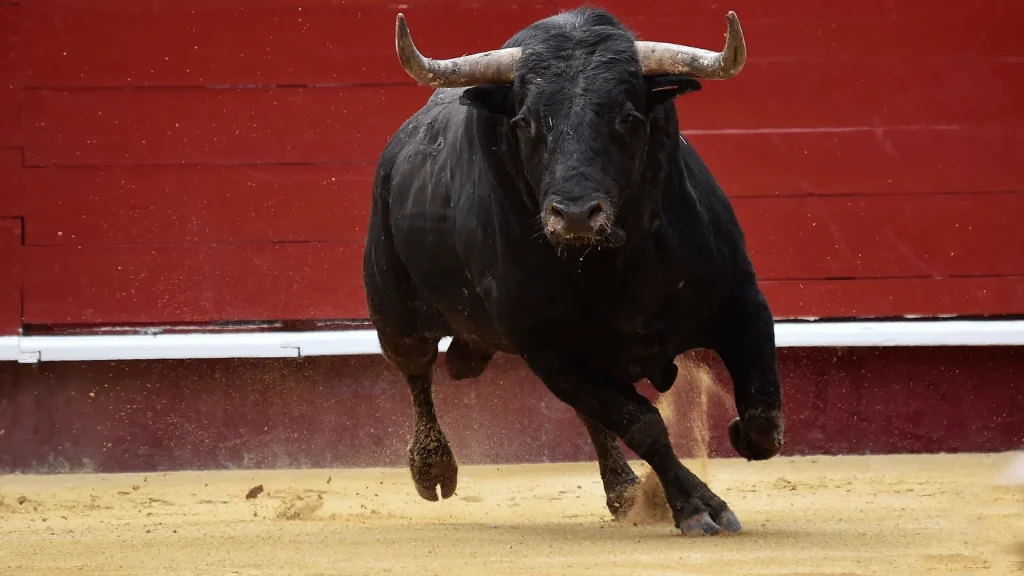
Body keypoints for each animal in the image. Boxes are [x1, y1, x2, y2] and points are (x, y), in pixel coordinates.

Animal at [362, 6, 784, 536]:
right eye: (524, 121)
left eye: (628, 117)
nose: (577, 214)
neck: (617, 264)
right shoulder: (550, 352)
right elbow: (643, 424)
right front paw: (695, 505)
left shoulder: (743, 300)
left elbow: (762, 409)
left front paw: (739, 438)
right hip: (395, 314)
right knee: (418, 373)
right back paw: (433, 470)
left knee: (590, 417)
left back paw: (623, 490)